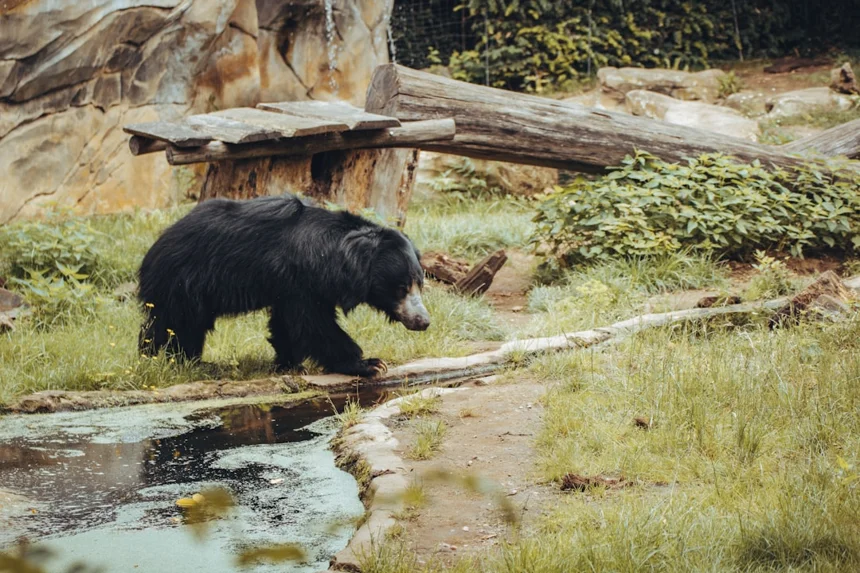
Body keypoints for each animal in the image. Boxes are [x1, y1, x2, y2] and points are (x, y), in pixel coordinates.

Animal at [137, 194, 430, 377]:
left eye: (419, 283)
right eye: (401, 288)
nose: (423, 321)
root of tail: (155, 246)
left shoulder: (296, 286)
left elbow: (286, 324)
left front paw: (289, 364)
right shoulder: (300, 279)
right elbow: (313, 324)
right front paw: (369, 364)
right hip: (184, 283)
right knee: (177, 326)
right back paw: (176, 361)